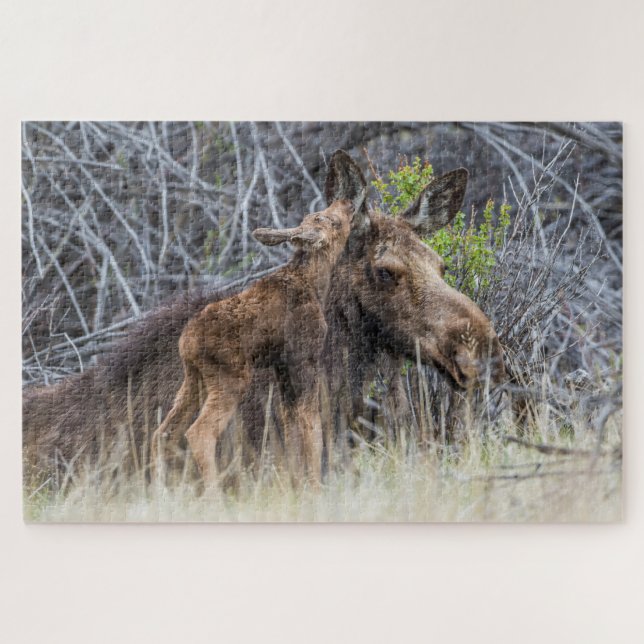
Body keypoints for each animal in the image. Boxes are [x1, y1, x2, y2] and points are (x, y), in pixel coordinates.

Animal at [150, 199, 356, 486]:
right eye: (331, 221)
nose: (346, 202)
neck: (316, 285)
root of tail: (185, 343)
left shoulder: (282, 368)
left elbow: (291, 427)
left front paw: (295, 481)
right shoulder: (305, 359)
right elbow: (312, 426)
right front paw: (315, 484)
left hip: (193, 379)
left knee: (163, 433)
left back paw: (159, 488)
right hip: (230, 378)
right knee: (199, 433)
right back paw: (213, 491)